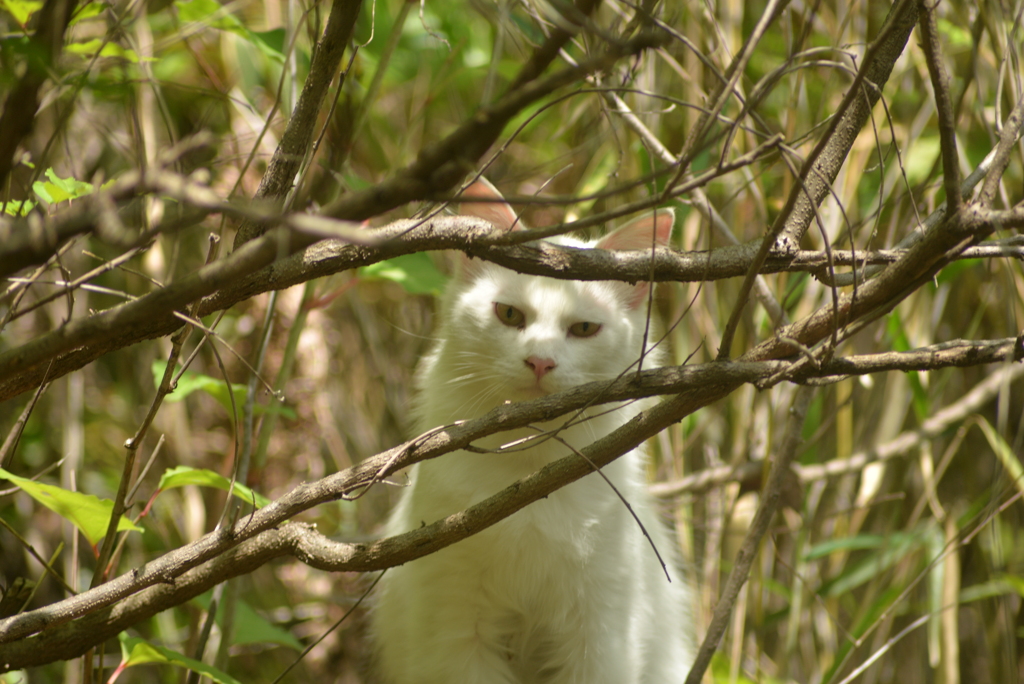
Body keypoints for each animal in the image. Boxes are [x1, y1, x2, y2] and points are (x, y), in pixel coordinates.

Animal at [372, 180, 692, 684]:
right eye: (509, 315)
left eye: (584, 328)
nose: (540, 362)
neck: (528, 479)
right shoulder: (457, 633)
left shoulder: (597, 634)